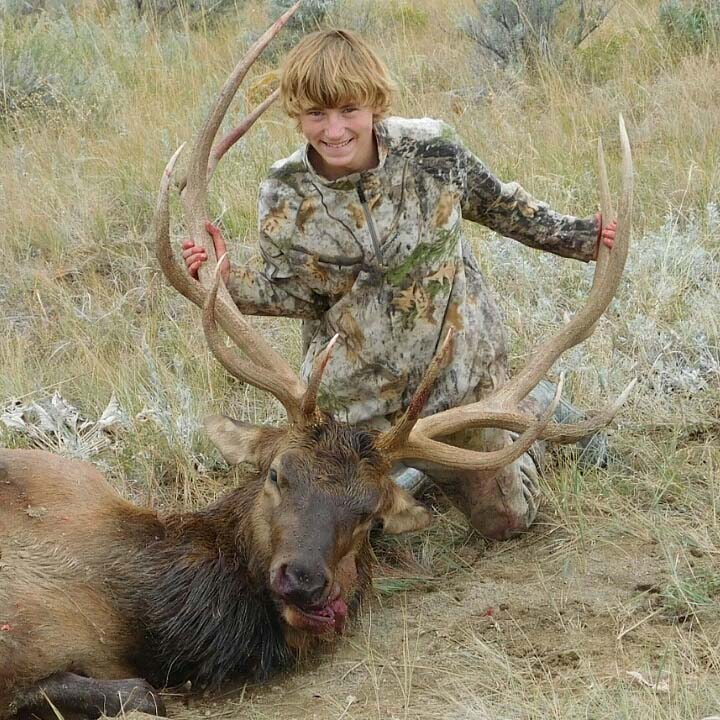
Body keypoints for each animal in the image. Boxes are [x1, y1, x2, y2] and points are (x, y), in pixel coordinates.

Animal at [0, 3, 634, 719]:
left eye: (371, 514)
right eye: (278, 474)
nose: (304, 580)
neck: (132, 605)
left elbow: (135, 690)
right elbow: (137, 693)